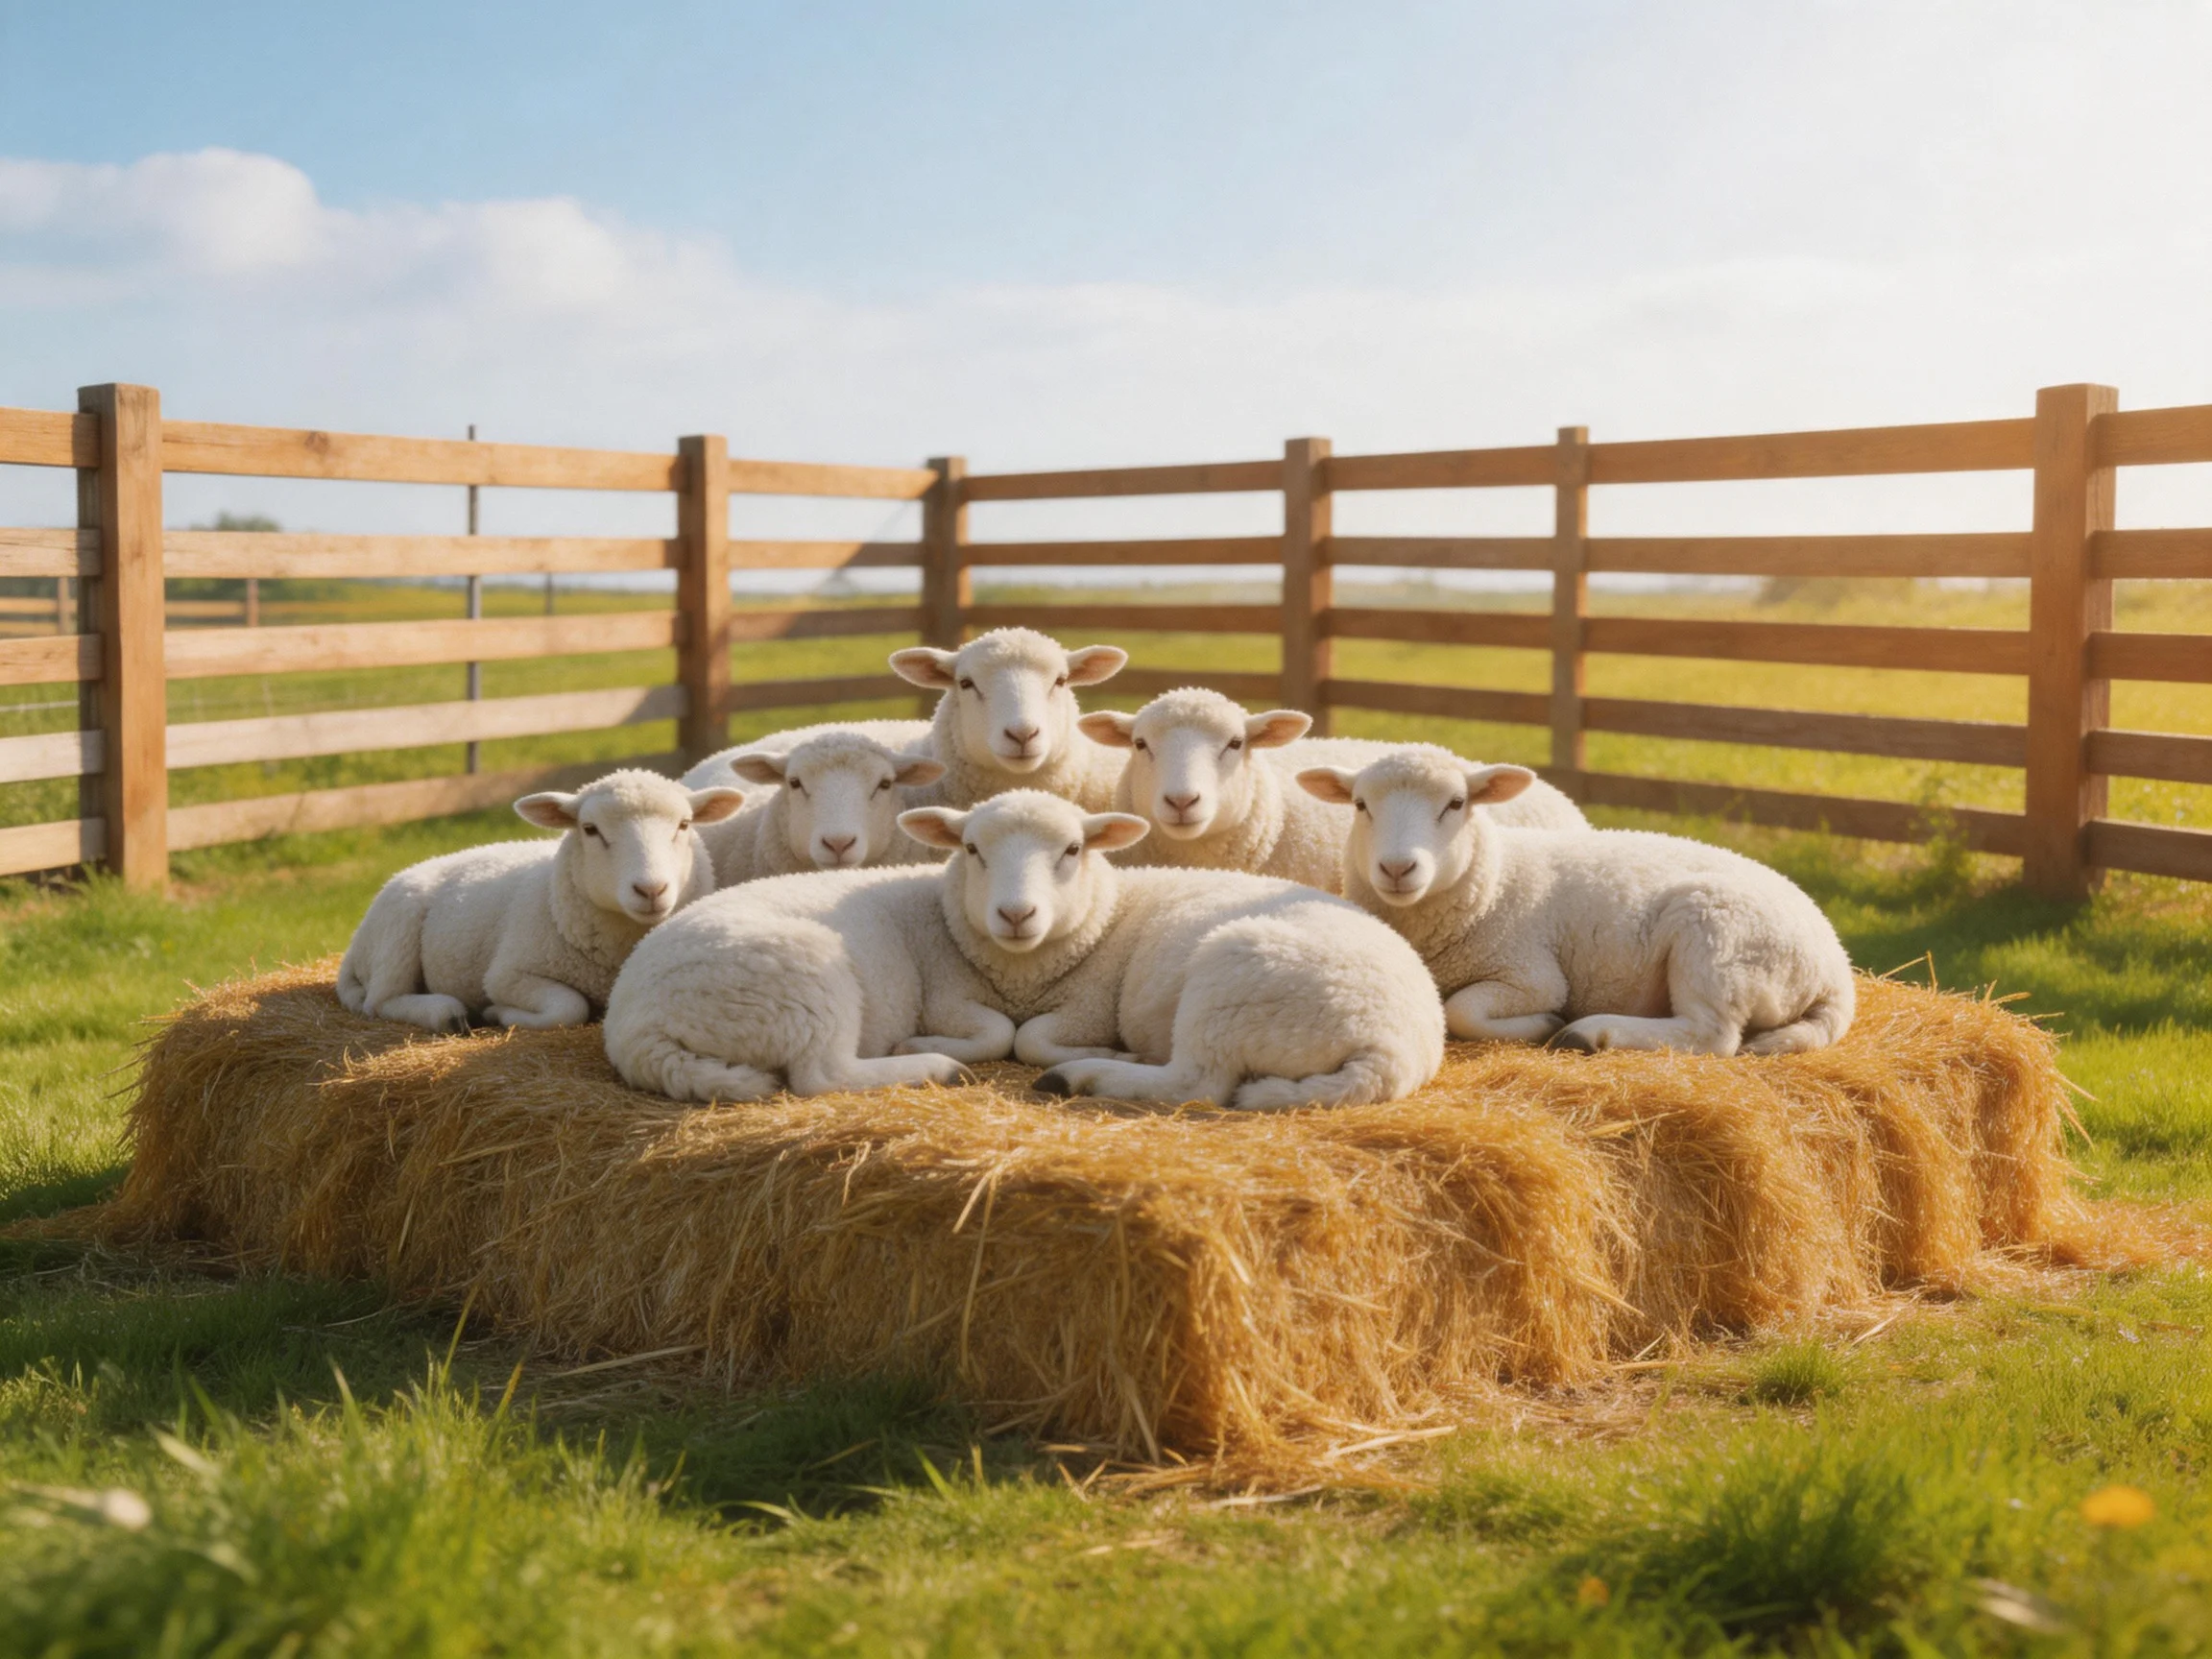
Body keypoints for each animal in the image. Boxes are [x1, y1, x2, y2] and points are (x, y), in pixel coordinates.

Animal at [338, 769, 745, 1034]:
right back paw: (445, 1012)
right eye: (590, 829)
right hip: (397, 932)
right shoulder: (506, 975)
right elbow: (568, 1008)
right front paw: (498, 1013)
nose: (650, 890)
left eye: (685, 825)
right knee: (381, 1001)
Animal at [899, 790, 1445, 1109]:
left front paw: (1097, 1052)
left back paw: (1083, 1076)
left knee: (1194, 1083)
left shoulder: (1089, 1006)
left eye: (1073, 850)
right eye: (971, 849)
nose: (1016, 914)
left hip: (1229, 987)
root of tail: (1386, 1053)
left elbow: (1028, 1039)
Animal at [1295, 748, 1854, 1055]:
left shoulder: (1530, 973)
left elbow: (1462, 1009)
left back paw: (1588, 1033)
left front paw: (1544, 1024)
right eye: (1360, 805)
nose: (1397, 868)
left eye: (1456, 804)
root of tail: (1836, 968)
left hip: (1716, 942)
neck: (1494, 881)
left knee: (1711, 1034)